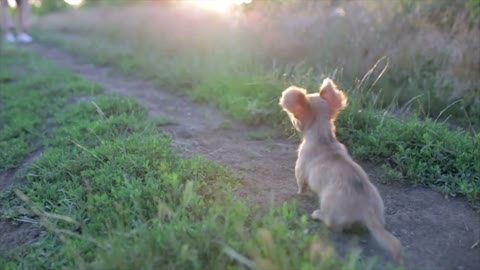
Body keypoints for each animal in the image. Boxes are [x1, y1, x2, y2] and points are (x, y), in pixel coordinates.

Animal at [280, 77, 404, 262]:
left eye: (295, 117)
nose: (294, 121)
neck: (324, 138)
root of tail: (366, 210)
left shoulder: (300, 169)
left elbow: (301, 185)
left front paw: (300, 193)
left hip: (329, 206)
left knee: (333, 225)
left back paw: (317, 214)